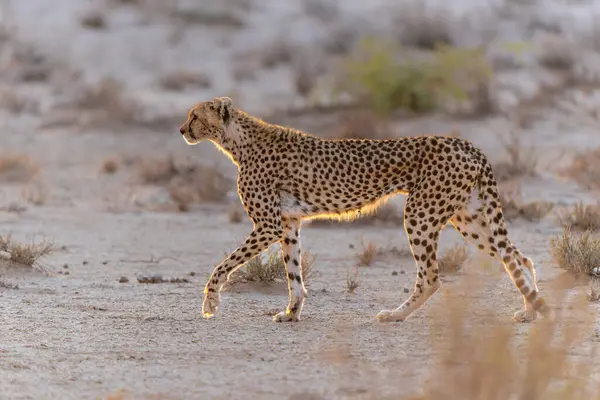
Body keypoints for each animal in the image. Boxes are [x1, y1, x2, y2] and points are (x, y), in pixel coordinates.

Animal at [178, 97, 552, 324]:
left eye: (195, 116)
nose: (182, 130)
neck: (238, 141)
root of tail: (467, 143)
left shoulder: (268, 225)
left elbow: (224, 263)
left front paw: (210, 302)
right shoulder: (288, 224)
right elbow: (293, 274)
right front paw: (292, 313)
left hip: (421, 213)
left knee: (432, 277)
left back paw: (395, 315)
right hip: (469, 216)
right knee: (518, 257)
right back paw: (529, 311)